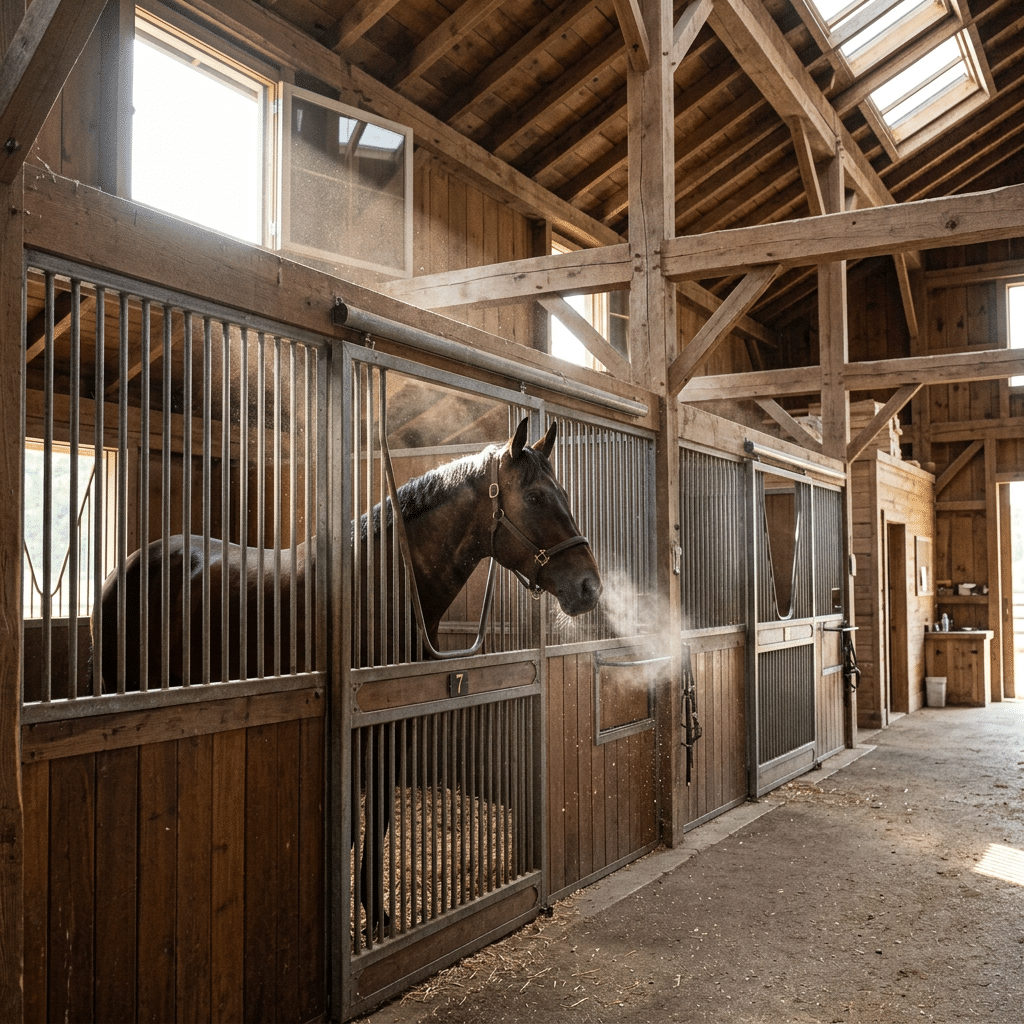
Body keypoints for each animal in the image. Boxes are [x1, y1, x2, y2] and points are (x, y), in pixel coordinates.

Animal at [93, 417, 602, 935]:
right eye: (535, 497)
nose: (589, 587)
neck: (378, 587)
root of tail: (131, 565)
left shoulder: (396, 725)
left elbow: (379, 816)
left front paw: (377, 916)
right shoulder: (360, 730)